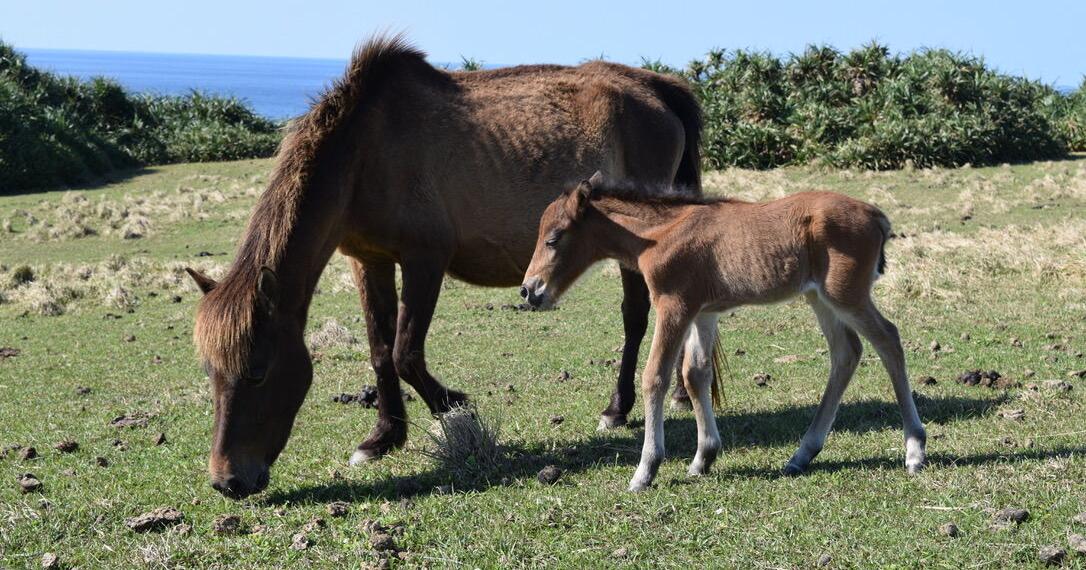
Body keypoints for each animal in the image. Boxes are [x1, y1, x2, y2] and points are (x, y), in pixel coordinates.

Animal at [185, 34, 703, 498]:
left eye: (257, 370)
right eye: (210, 372)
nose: (228, 482)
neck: (365, 151)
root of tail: (657, 89)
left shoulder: (424, 261)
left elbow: (405, 352)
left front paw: (456, 408)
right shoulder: (368, 261)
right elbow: (380, 351)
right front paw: (383, 438)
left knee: (636, 317)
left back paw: (617, 409)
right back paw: (678, 394)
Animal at [521, 173, 927, 491]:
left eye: (554, 238)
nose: (529, 290)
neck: (659, 233)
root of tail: (877, 216)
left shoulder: (673, 305)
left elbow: (656, 376)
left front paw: (645, 470)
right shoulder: (703, 312)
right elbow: (695, 374)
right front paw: (704, 458)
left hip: (846, 294)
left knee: (888, 339)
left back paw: (914, 449)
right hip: (819, 297)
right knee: (847, 352)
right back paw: (802, 454)